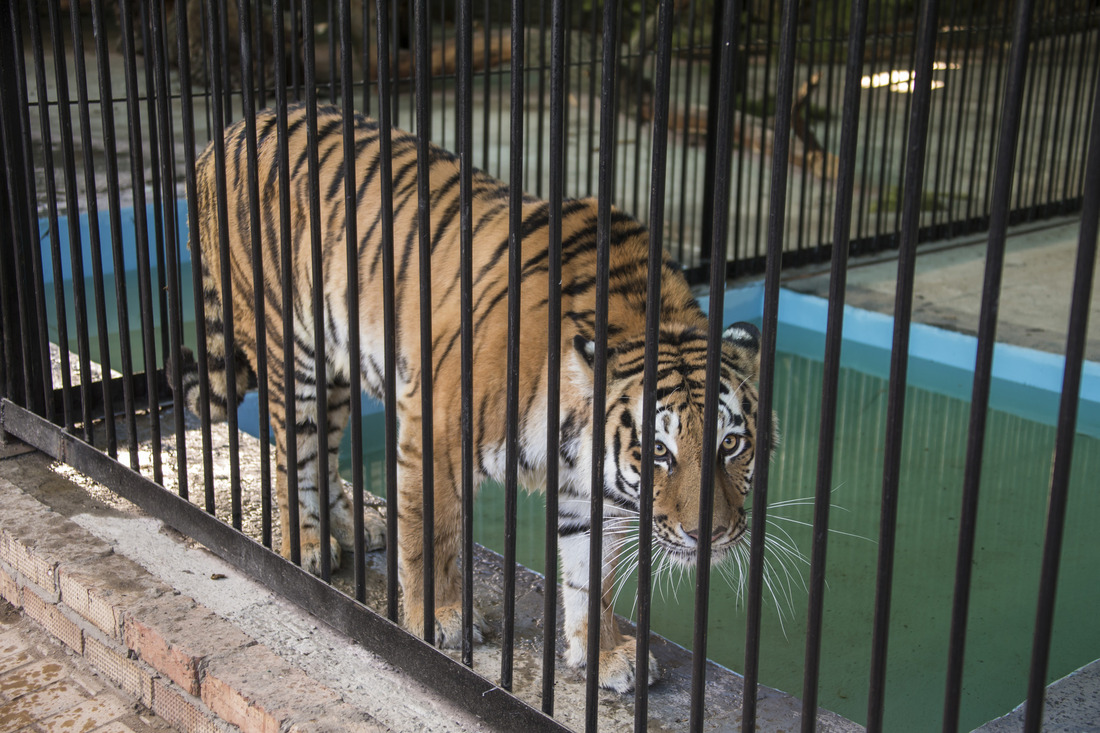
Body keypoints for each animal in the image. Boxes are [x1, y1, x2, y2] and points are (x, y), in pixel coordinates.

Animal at [180, 102, 770, 691]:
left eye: (731, 444)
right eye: (659, 452)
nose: (711, 534)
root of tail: (229, 132)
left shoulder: (586, 488)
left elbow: (590, 574)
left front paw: (604, 654)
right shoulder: (434, 431)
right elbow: (433, 536)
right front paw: (439, 619)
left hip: (335, 371)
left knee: (322, 450)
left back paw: (355, 524)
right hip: (293, 350)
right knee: (293, 456)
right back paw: (306, 546)